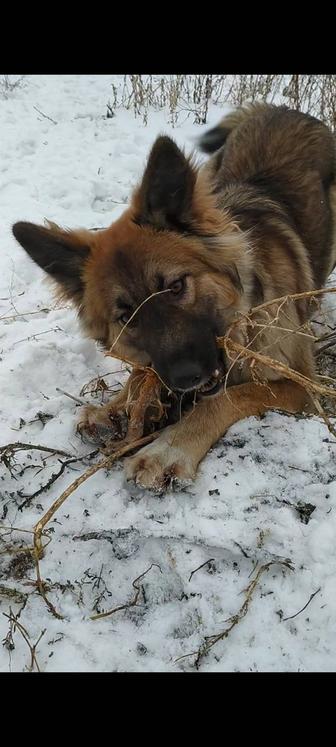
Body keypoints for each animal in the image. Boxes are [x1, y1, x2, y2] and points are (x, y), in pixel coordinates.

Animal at [12, 103, 336, 490]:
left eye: (176, 286)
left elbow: (226, 397)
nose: (185, 378)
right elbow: (142, 374)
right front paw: (115, 407)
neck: (242, 324)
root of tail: (281, 108)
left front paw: (169, 448)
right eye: (126, 316)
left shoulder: (300, 385)